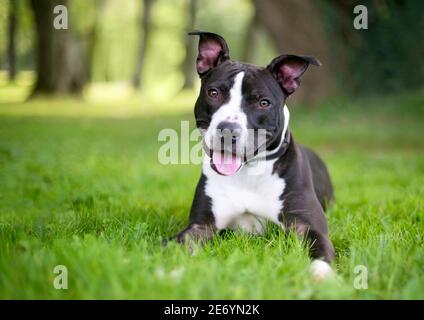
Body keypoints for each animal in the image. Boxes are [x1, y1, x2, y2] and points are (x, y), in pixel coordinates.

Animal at [171, 31, 334, 278]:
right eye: (213, 93)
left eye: (263, 102)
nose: (228, 130)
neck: (249, 172)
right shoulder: (201, 226)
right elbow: (178, 245)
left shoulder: (307, 227)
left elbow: (321, 252)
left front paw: (321, 275)